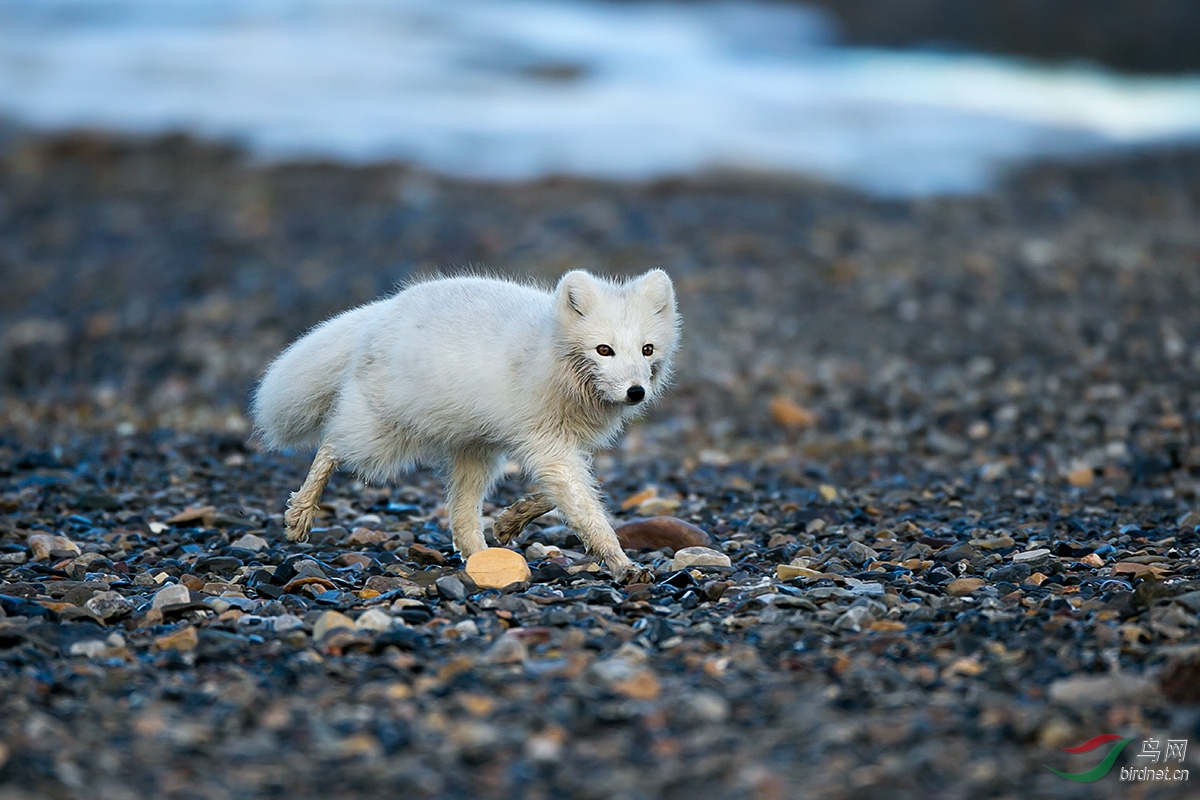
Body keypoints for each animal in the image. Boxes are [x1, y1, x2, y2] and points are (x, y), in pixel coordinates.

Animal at [253, 272, 681, 578]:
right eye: (604, 350)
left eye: (647, 350)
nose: (636, 392)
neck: (551, 356)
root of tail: (382, 311)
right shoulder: (547, 444)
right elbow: (584, 507)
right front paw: (621, 563)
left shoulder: (562, 444)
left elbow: (568, 493)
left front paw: (512, 519)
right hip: (383, 440)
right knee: (331, 444)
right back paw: (301, 512)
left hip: (476, 452)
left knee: (460, 514)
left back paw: (484, 561)